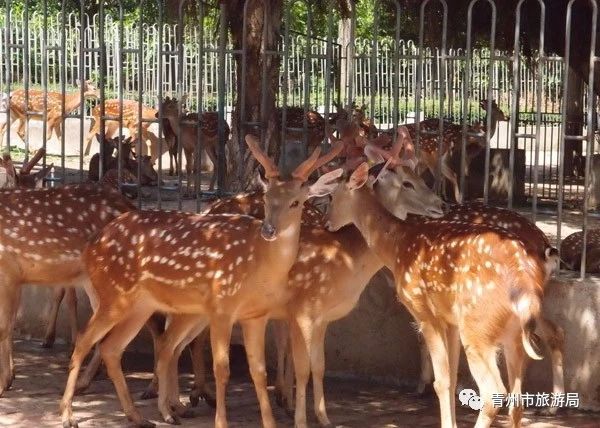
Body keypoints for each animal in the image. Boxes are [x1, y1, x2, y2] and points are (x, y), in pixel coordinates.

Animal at [59, 135, 344, 428]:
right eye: (267, 198)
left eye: (296, 202)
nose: (269, 230)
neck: (258, 264)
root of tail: (91, 247)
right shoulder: (221, 306)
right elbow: (221, 368)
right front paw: (221, 421)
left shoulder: (256, 315)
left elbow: (259, 371)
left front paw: (271, 422)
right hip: (114, 294)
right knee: (83, 341)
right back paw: (69, 414)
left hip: (140, 306)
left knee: (112, 348)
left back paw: (138, 416)